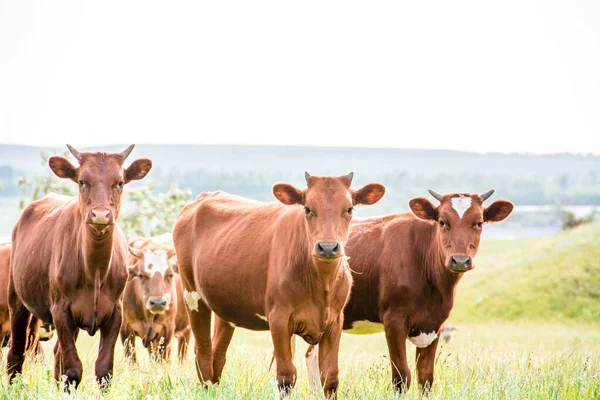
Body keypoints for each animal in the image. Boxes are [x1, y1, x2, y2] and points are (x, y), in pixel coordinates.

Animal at [7, 145, 151, 388]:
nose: (101, 214)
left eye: (120, 182)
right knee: (17, 352)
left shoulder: (115, 313)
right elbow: (73, 370)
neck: (95, 270)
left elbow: (104, 370)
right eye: (82, 181)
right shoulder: (61, 310)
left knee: (57, 355)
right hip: (17, 301)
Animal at [123, 234, 193, 362]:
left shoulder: (166, 331)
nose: (158, 303)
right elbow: (132, 361)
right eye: (141, 275)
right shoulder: (125, 330)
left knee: (182, 354)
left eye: (170, 275)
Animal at [172, 173, 384, 396]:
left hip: (225, 307)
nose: (327, 247)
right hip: (192, 296)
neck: (321, 283)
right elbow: (286, 376)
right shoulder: (279, 319)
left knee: (217, 355)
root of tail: (204, 197)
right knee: (203, 355)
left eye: (349, 209)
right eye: (307, 208)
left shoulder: (335, 321)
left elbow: (330, 376)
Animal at [308, 189, 512, 392]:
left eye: (479, 223)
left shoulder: (435, 324)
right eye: (442, 221)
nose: (460, 260)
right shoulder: (394, 320)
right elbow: (401, 376)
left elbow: (426, 377)